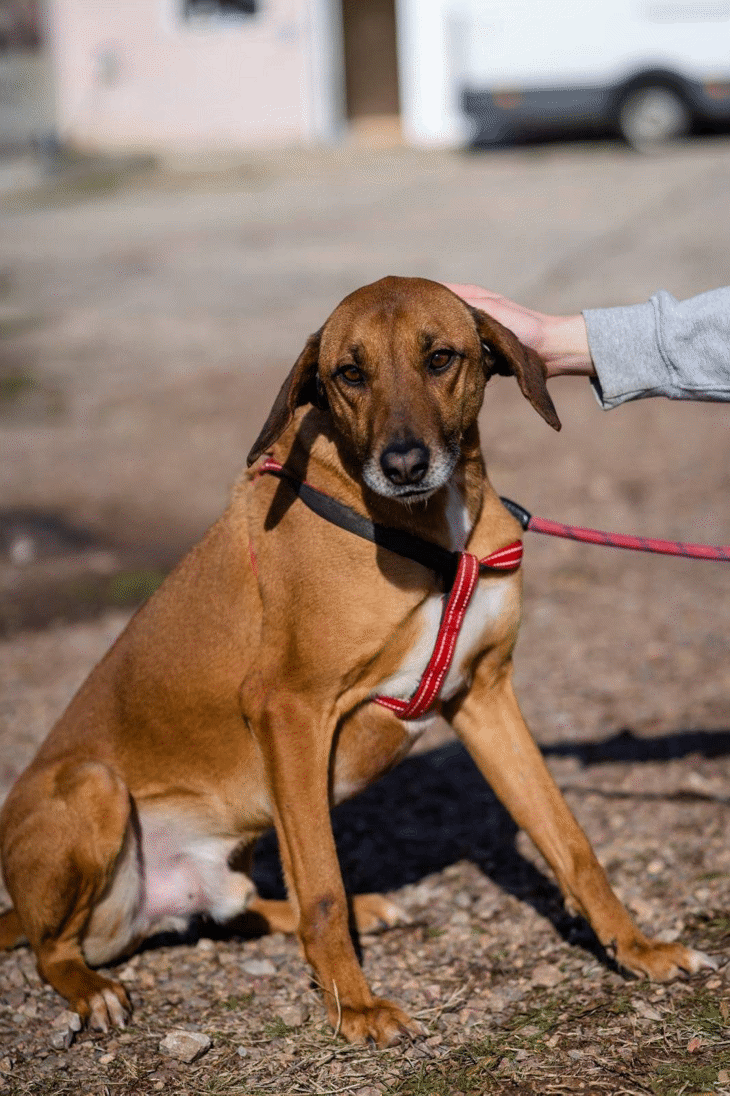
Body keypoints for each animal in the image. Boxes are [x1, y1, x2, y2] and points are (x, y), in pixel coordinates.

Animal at [0, 276, 710, 1043]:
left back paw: (362, 908)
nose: (403, 465)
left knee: (240, 909)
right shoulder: (288, 711)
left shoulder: (485, 695)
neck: (430, 528)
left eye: (440, 357)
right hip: (94, 787)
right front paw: (357, 1007)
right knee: (51, 949)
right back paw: (92, 989)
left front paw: (635, 947)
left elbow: (571, 842)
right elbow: (321, 888)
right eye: (349, 373)